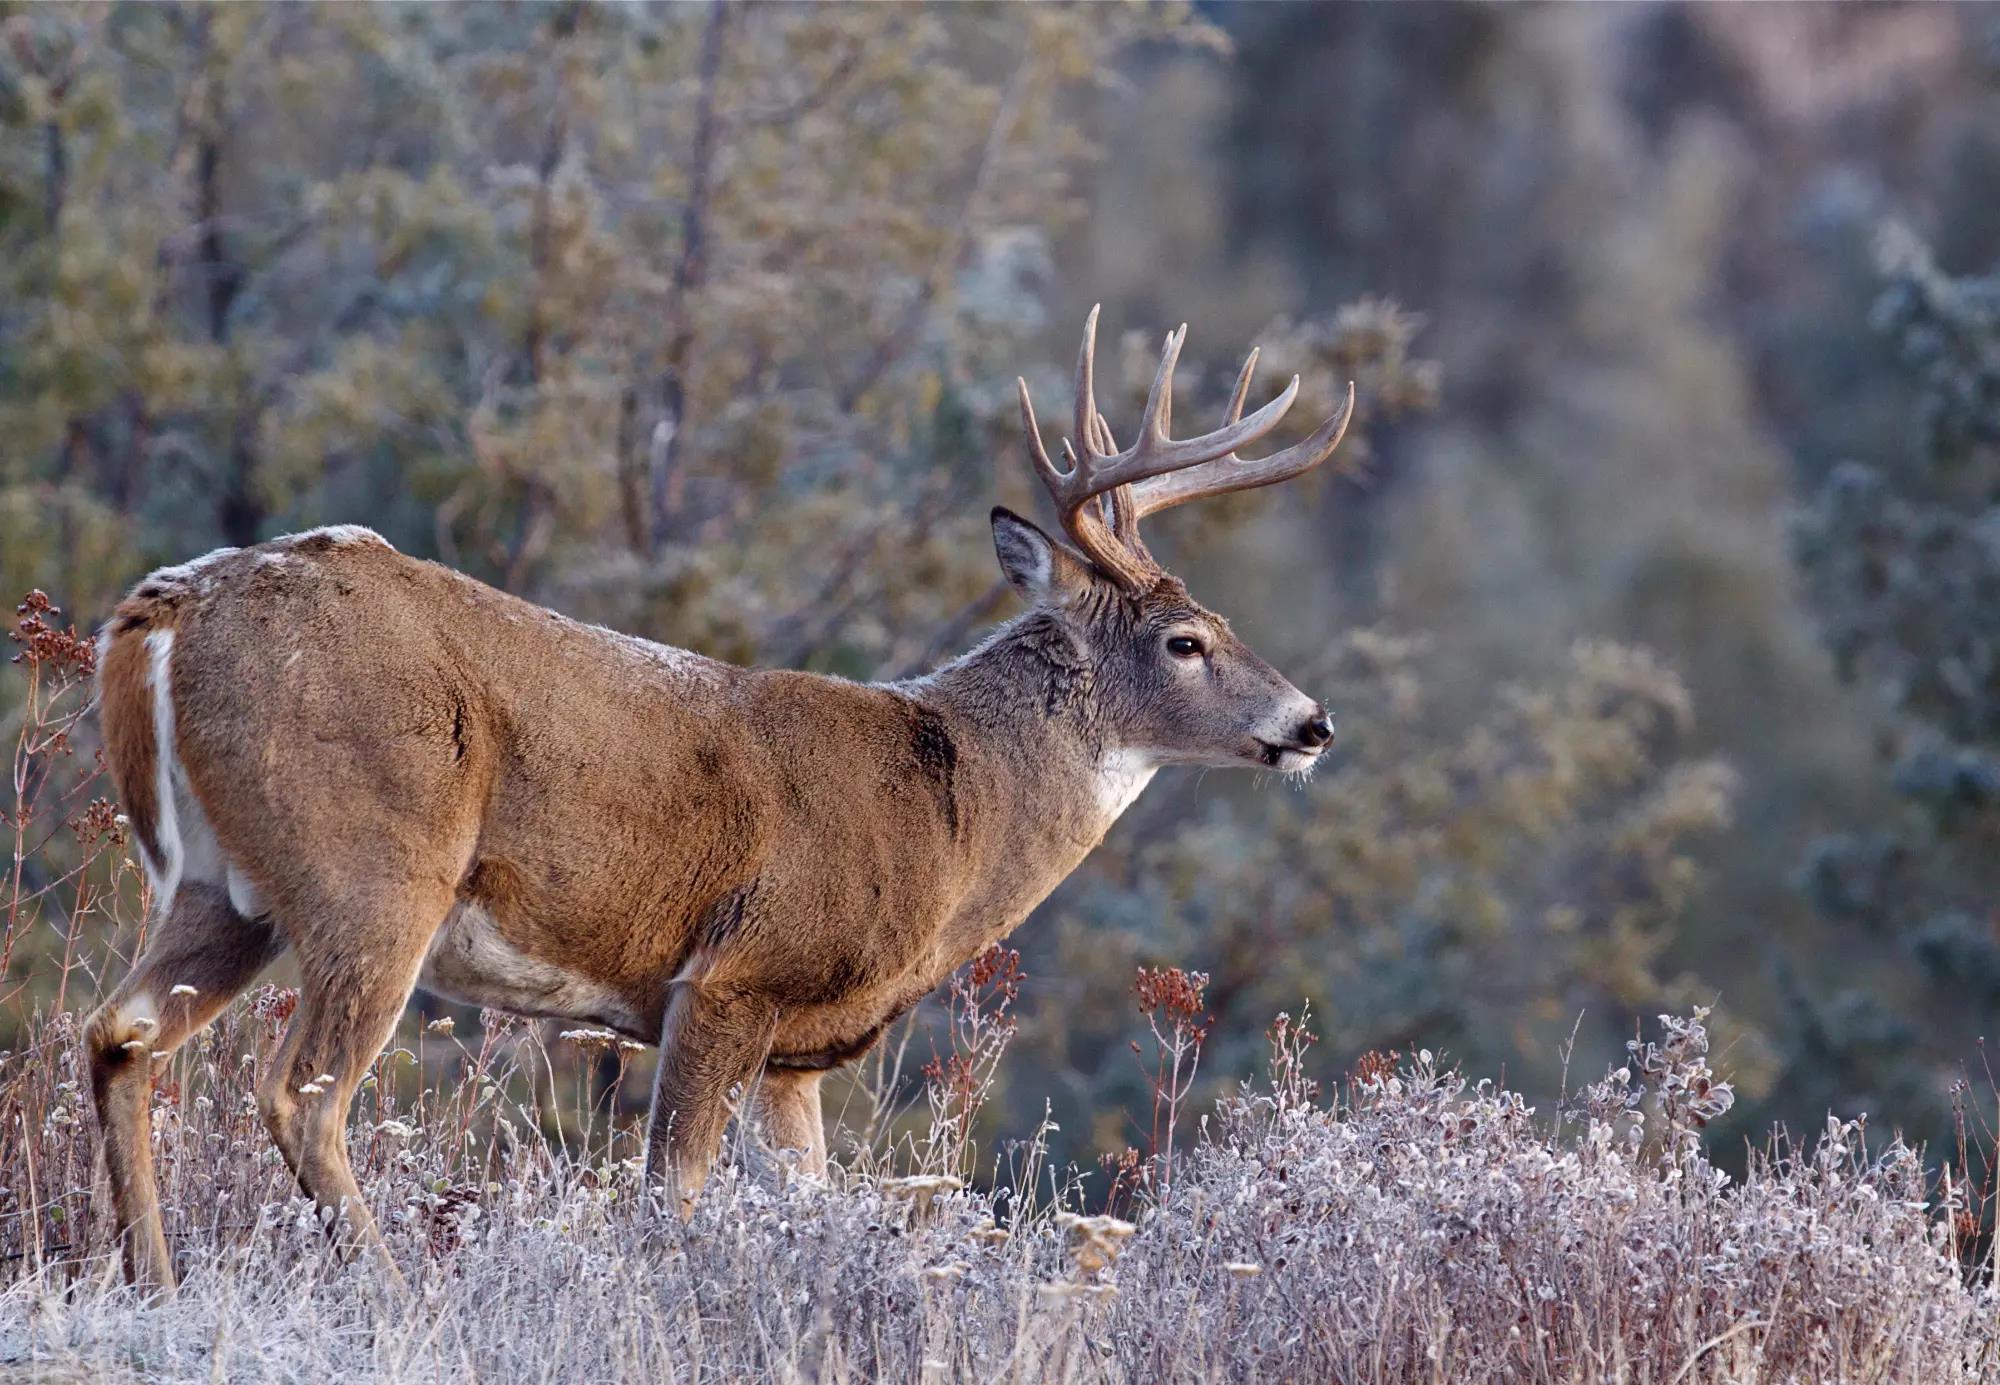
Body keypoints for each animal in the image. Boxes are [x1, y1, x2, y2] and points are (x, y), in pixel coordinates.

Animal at [86, 308, 1352, 1296]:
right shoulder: (732, 974)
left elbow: (803, 1200)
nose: (1310, 722)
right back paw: (399, 1301)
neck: (953, 812)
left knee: (118, 1032)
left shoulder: (795, 1054)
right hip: (372, 866)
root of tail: (163, 611)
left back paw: (154, 1282)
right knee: (299, 1089)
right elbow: (670, 1196)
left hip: (223, 887)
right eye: (1185, 640)